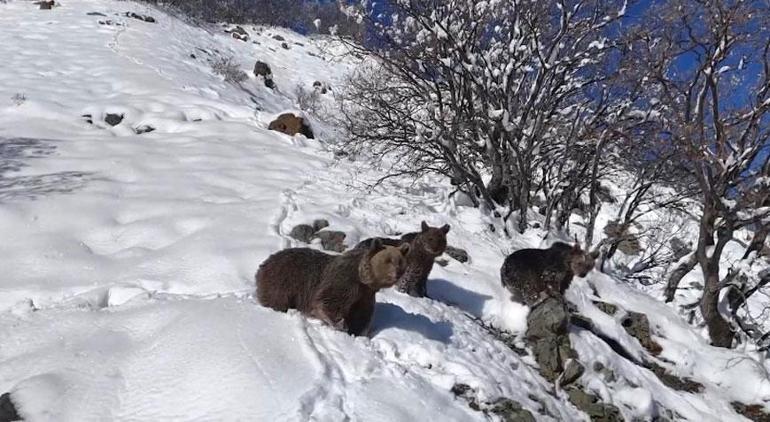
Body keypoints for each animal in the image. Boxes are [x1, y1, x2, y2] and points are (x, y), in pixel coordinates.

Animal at [255, 241, 408, 336]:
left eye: (400, 261)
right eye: (388, 260)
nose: (397, 273)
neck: (363, 279)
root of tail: (263, 264)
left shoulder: (365, 295)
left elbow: (361, 315)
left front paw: (357, 331)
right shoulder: (346, 281)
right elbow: (329, 301)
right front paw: (341, 325)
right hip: (283, 282)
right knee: (277, 300)